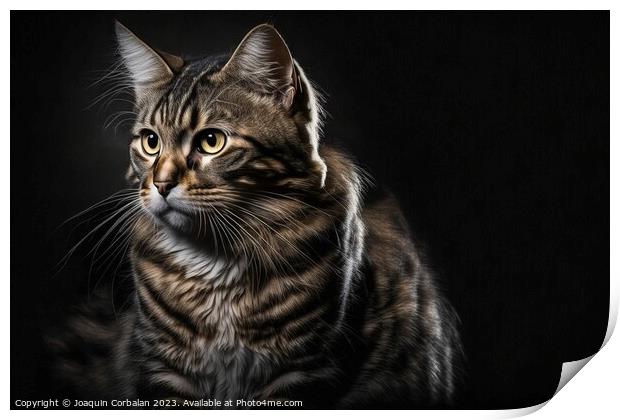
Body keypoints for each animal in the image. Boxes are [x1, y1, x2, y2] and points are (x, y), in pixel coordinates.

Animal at [49, 21, 460, 408]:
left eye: (211, 141)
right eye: (151, 142)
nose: (162, 184)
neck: (216, 263)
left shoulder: (302, 369)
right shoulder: (164, 368)